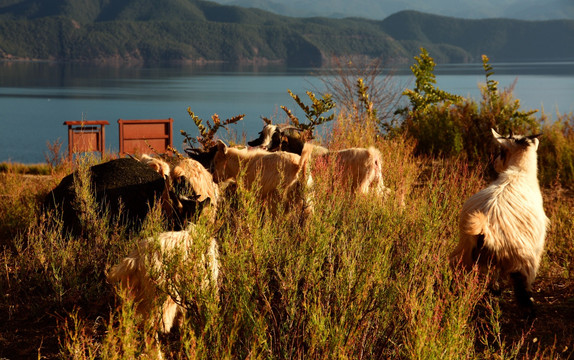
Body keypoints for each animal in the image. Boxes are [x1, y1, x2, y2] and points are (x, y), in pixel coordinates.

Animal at [452, 129, 552, 306]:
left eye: (501, 151)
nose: (495, 162)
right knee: (522, 291)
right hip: (521, 258)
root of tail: (484, 227)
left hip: (466, 254)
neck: (519, 172)